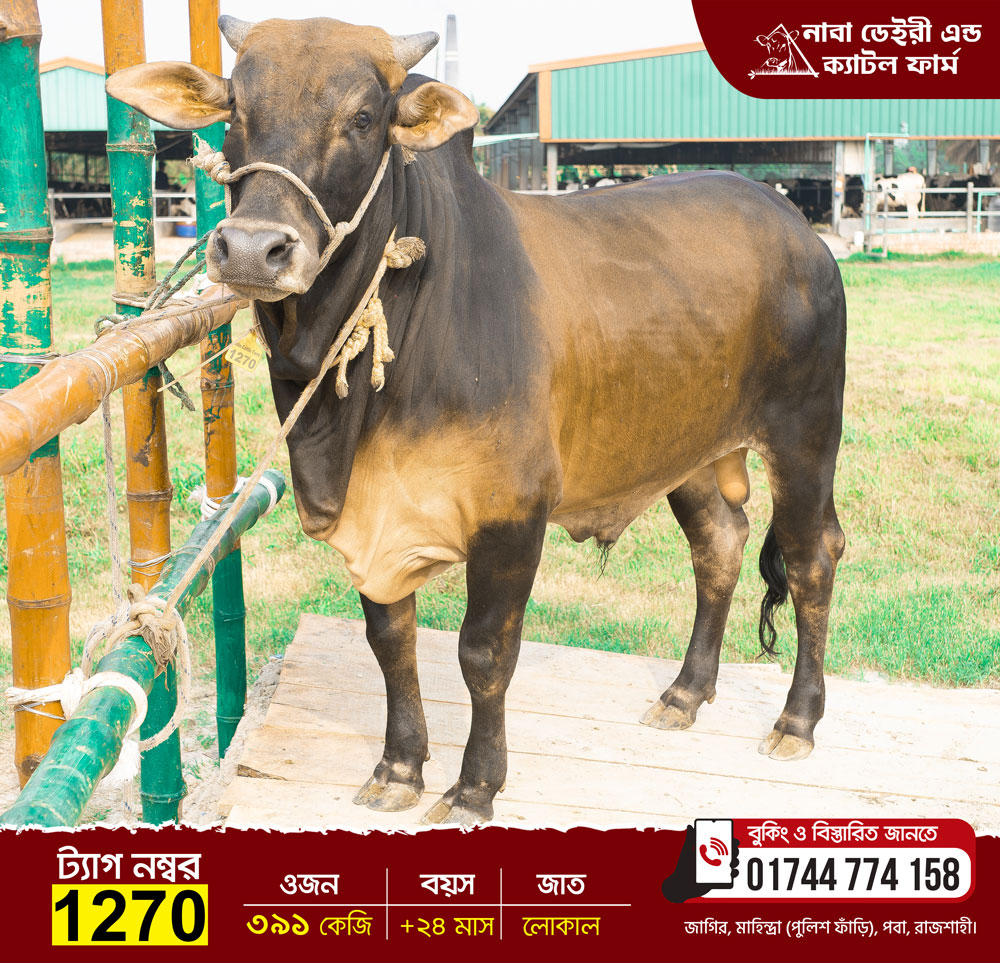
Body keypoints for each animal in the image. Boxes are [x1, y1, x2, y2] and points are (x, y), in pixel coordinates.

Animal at [107, 15, 847, 825]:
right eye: (235, 111)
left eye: (362, 119)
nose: (251, 248)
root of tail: (794, 222)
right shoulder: (376, 520)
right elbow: (390, 639)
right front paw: (399, 766)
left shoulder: (512, 516)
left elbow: (483, 652)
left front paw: (475, 784)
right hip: (688, 451)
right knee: (719, 543)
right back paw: (685, 693)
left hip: (806, 437)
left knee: (811, 559)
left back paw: (797, 720)